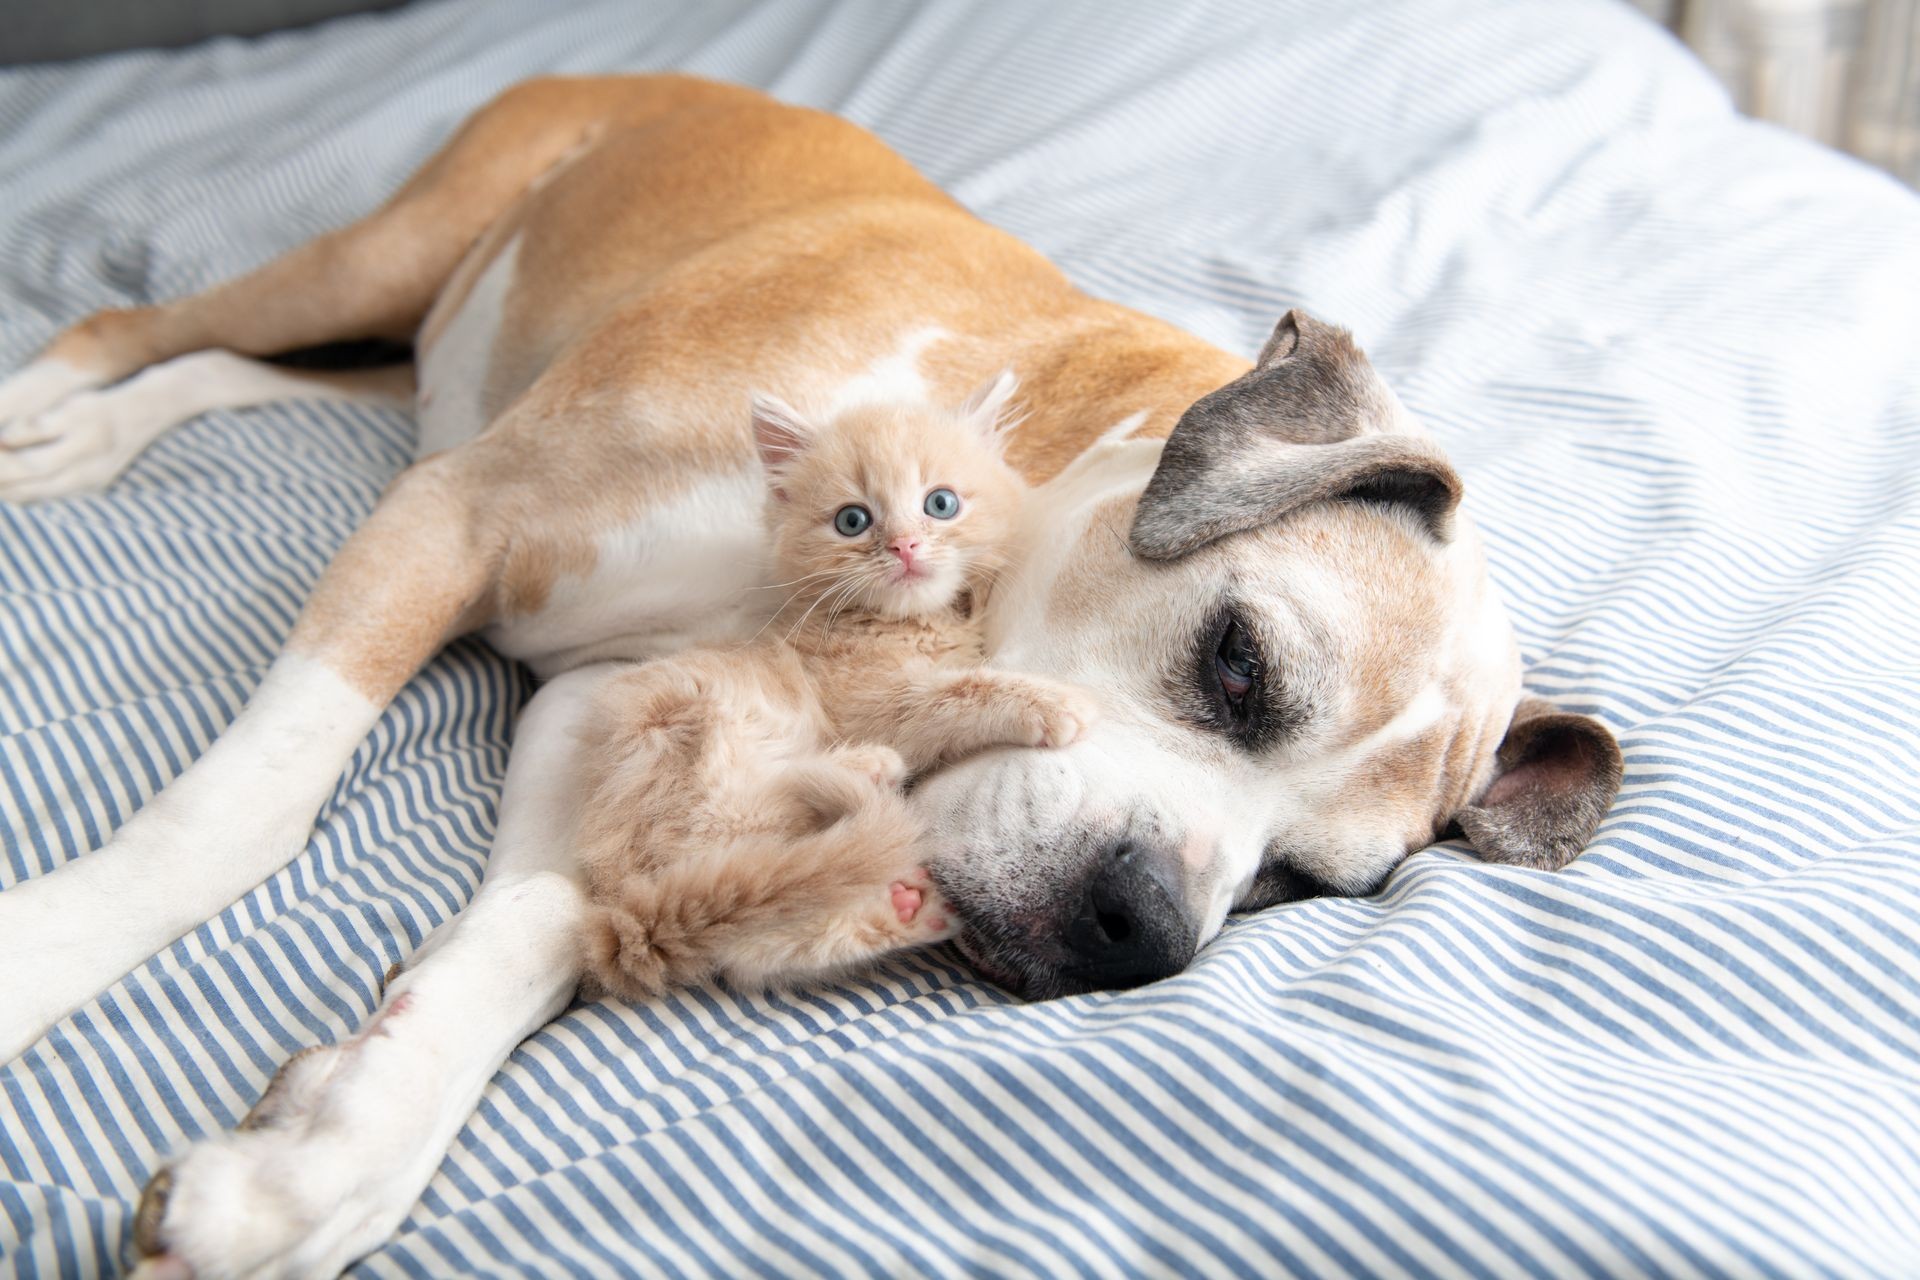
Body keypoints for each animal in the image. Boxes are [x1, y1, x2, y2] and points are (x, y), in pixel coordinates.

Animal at [572, 370, 1098, 997]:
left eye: (940, 503)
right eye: (854, 520)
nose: (904, 545)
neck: (903, 625)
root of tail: (618, 909)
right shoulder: (870, 705)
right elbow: (953, 693)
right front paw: (1051, 701)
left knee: (758, 933)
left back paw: (904, 908)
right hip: (689, 722)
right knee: (742, 813)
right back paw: (865, 768)